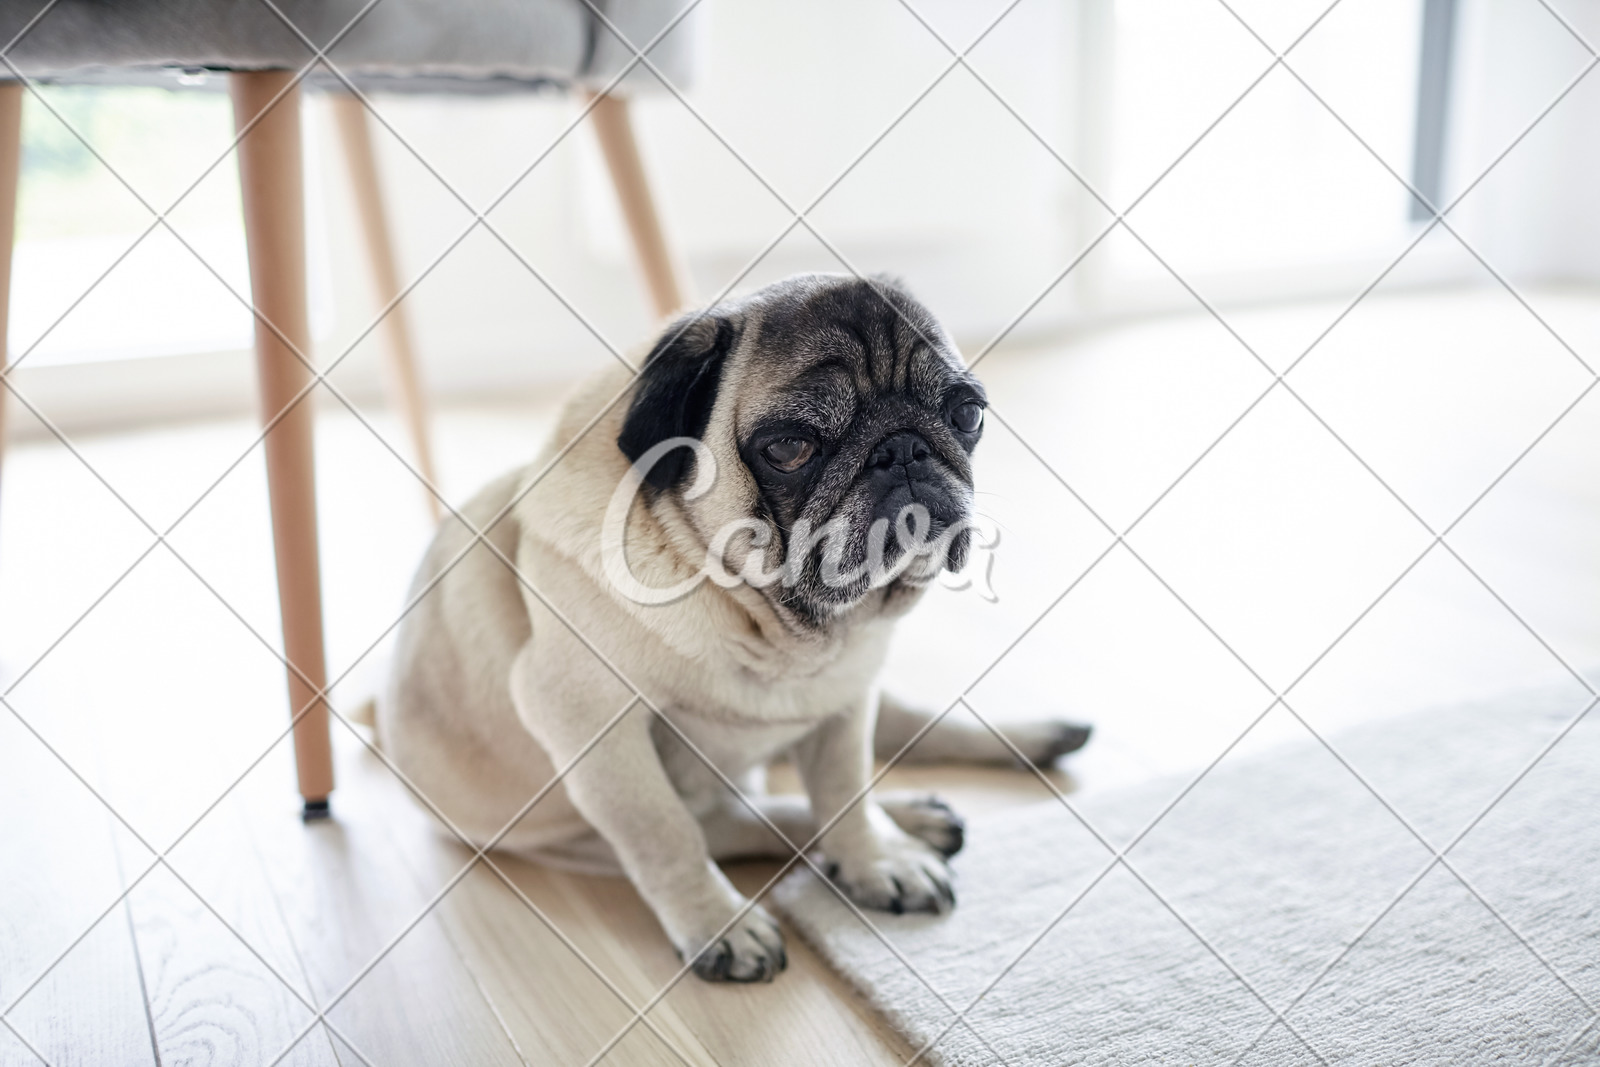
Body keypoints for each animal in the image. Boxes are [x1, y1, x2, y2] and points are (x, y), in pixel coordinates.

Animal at [380, 273, 1094, 985]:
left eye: (967, 414)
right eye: (789, 447)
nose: (903, 448)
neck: (775, 627)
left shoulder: (845, 697)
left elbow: (845, 787)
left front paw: (874, 858)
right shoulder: (589, 723)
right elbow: (664, 831)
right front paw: (718, 926)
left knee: (905, 727)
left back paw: (1010, 753)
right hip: (589, 829)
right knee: (746, 823)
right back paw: (914, 819)